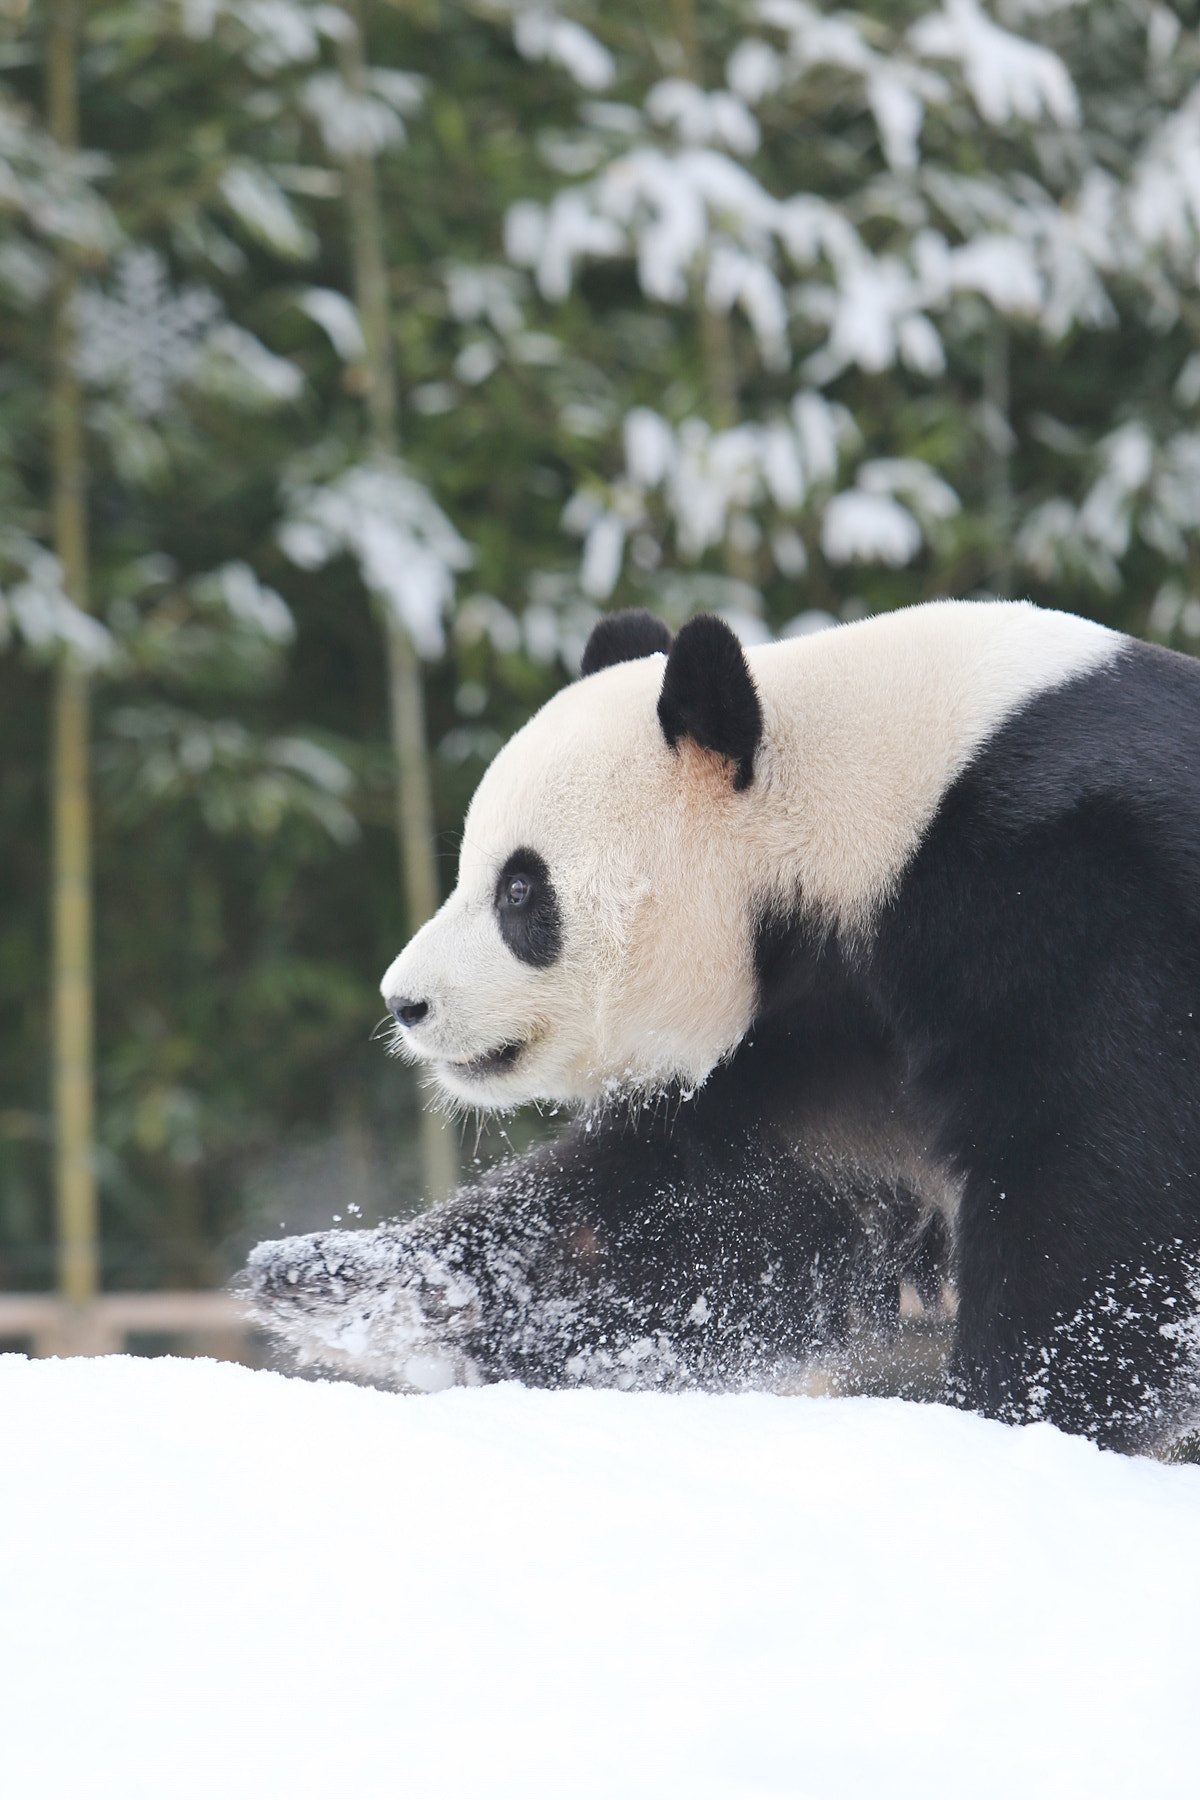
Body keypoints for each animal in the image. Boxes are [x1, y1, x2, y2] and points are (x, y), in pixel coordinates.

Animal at [246, 599, 1200, 1452]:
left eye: (520, 890)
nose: (404, 1002)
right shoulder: (820, 1033)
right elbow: (714, 1209)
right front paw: (351, 1286)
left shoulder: (1073, 893)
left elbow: (1100, 1184)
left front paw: (1013, 1417)